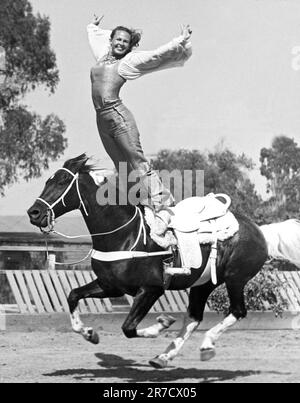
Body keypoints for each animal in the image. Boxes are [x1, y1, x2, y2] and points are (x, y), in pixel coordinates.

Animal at [27, 155, 268, 370]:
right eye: (47, 181)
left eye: (62, 181)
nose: (34, 212)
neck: (126, 235)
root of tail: (257, 229)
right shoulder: (110, 286)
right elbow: (73, 295)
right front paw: (89, 333)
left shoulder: (151, 289)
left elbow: (128, 328)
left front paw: (161, 324)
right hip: (203, 283)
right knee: (194, 318)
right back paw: (163, 357)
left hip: (235, 279)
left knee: (237, 311)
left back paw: (206, 345)